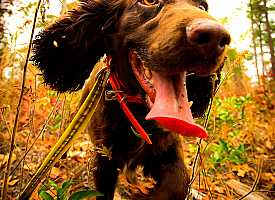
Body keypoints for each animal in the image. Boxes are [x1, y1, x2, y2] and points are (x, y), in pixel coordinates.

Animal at [31, 0, 231, 199]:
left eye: (203, 7)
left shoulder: (169, 151)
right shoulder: (105, 160)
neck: (139, 114)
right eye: (149, 2)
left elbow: (178, 184)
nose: (215, 37)